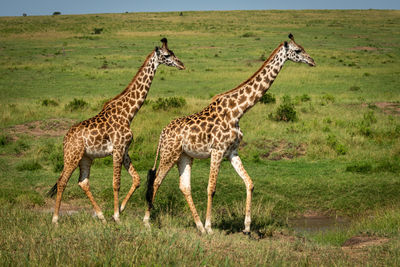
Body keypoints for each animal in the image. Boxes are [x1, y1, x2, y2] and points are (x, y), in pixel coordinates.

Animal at [48, 37, 184, 225]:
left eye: (173, 52)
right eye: (166, 55)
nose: (181, 64)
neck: (128, 114)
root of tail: (65, 139)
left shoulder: (124, 149)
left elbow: (137, 179)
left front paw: (120, 209)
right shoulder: (118, 149)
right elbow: (116, 183)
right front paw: (117, 217)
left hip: (86, 158)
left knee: (83, 182)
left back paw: (101, 216)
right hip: (72, 156)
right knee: (62, 181)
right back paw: (55, 219)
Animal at [144, 33, 316, 234]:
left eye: (303, 48)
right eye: (298, 50)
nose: (312, 61)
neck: (238, 111)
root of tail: (162, 133)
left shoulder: (232, 151)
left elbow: (249, 183)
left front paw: (247, 227)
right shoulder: (217, 150)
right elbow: (211, 188)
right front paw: (211, 227)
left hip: (184, 156)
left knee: (184, 186)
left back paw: (199, 227)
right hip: (168, 153)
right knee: (157, 181)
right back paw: (147, 222)